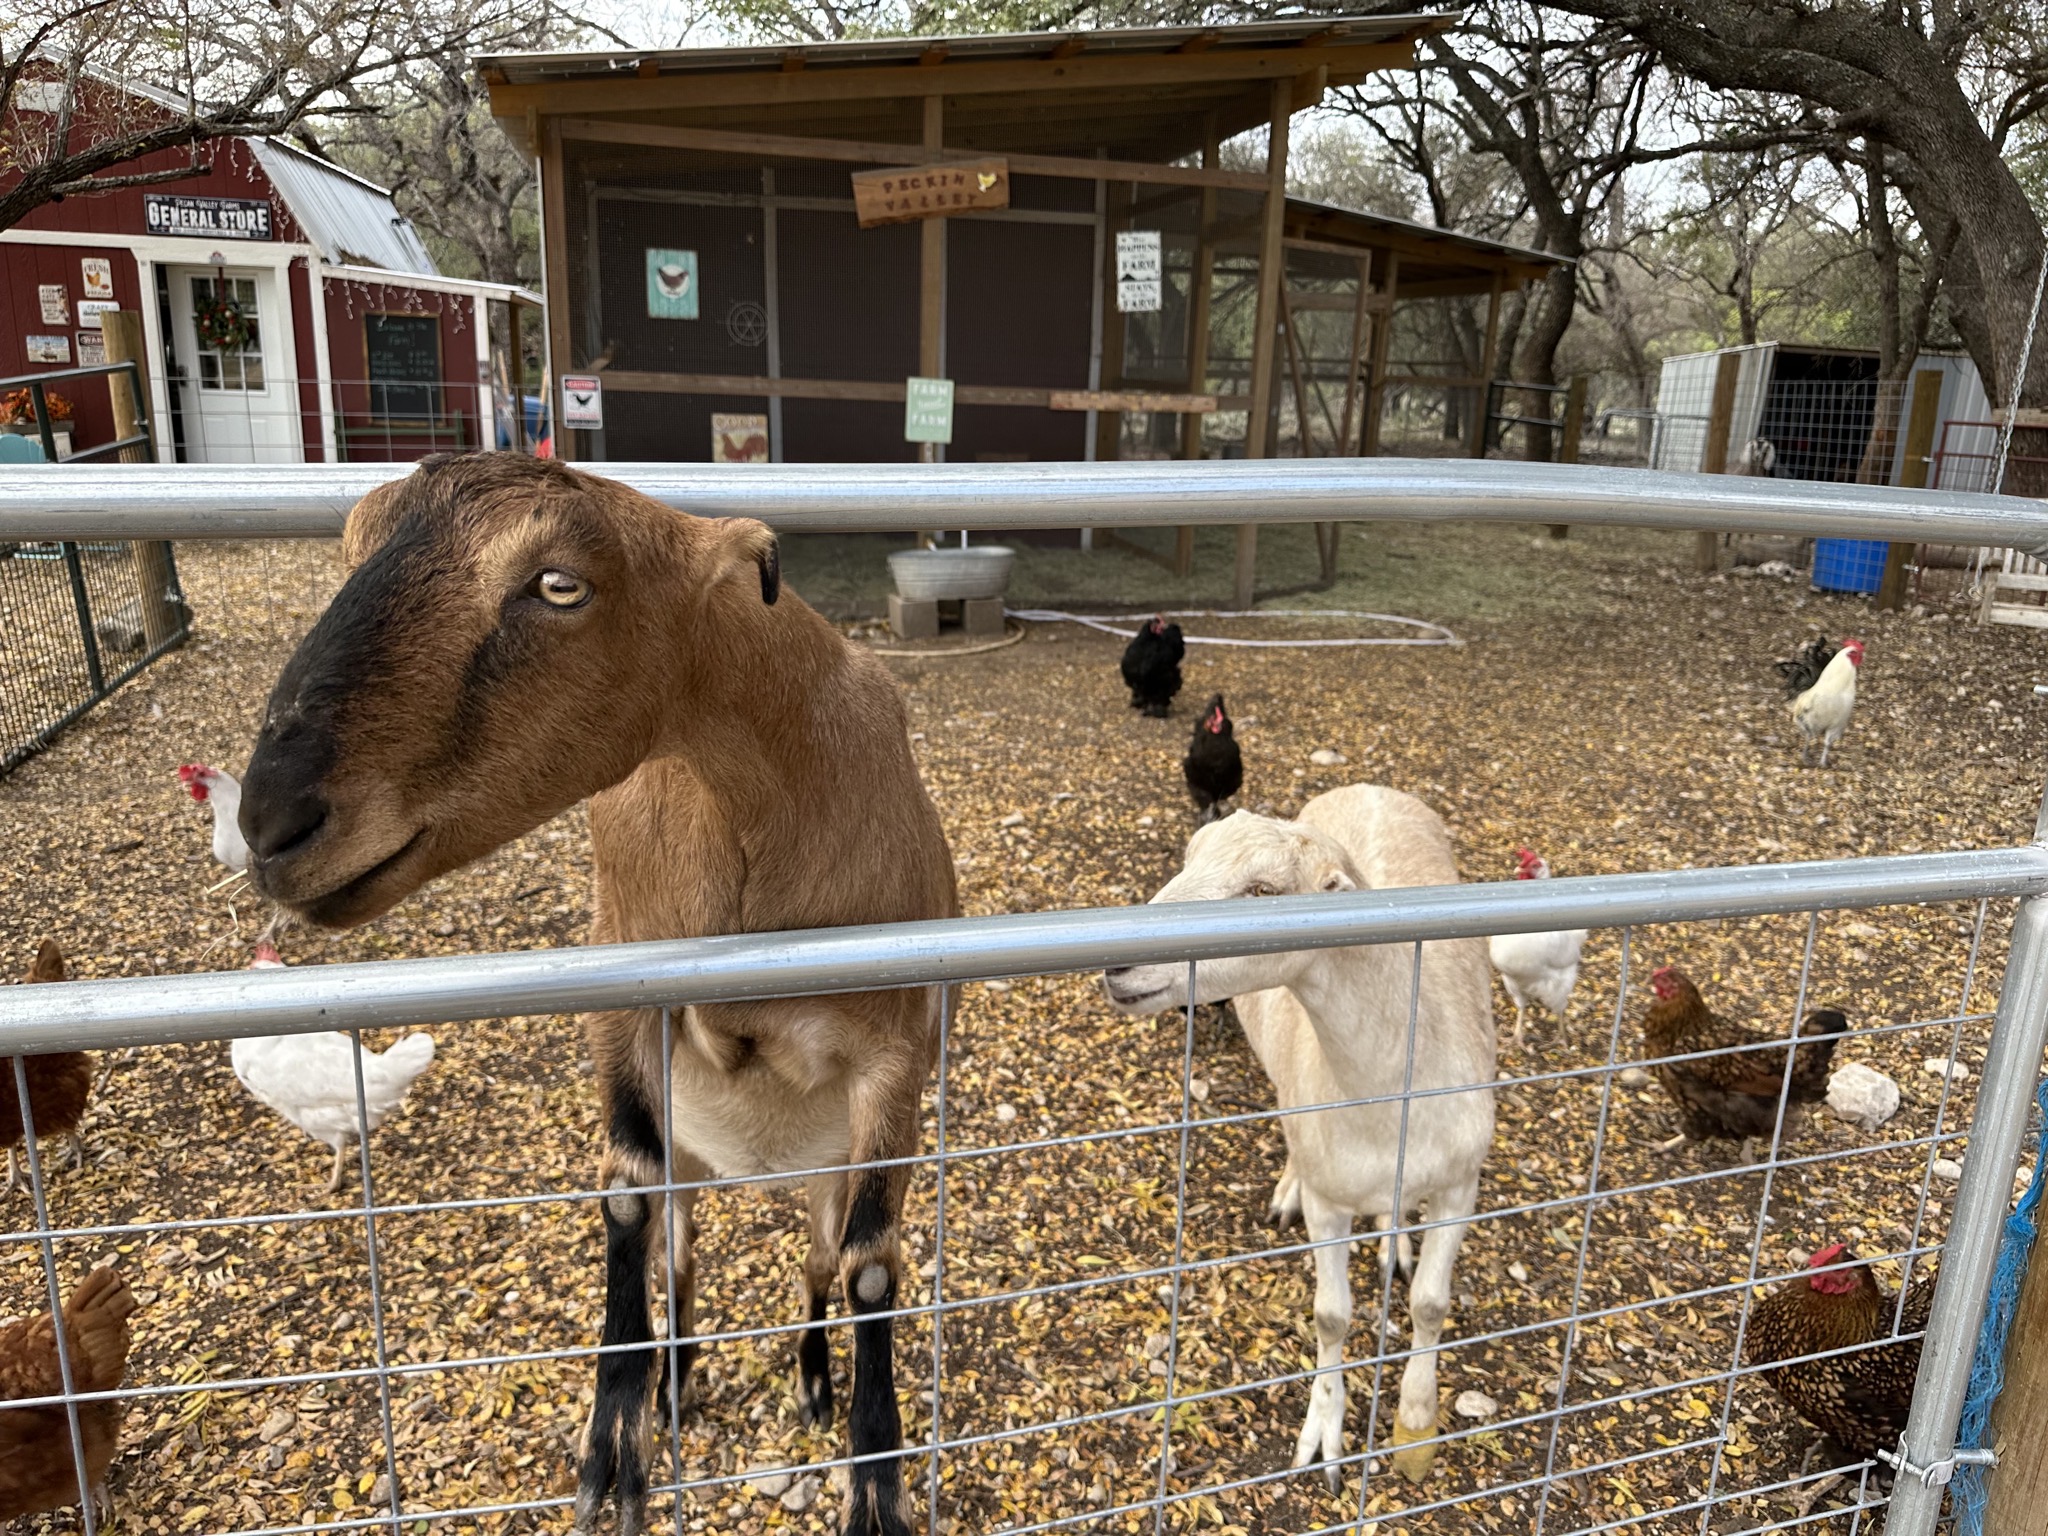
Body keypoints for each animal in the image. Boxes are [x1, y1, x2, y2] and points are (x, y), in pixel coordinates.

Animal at [236, 453, 957, 1536]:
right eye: (352, 544)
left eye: (559, 584)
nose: (271, 821)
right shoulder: (622, 993)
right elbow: (624, 1199)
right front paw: (614, 1443)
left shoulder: (893, 1051)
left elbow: (872, 1266)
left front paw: (874, 1483)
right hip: (695, 1145)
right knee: (683, 1250)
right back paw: (677, 1382)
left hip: (828, 1156)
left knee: (819, 1264)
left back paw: (812, 1381)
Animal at [1102, 786, 1494, 1489]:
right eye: (1188, 859)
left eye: (1263, 891)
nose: (1116, 961)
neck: (1387, 1097)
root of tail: (1363, 786)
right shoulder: (1328, 1199)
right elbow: (1331, 1315)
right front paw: (1326, 1434)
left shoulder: (1461, 1183)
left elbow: (1430, 1304)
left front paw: (1415, 1428)